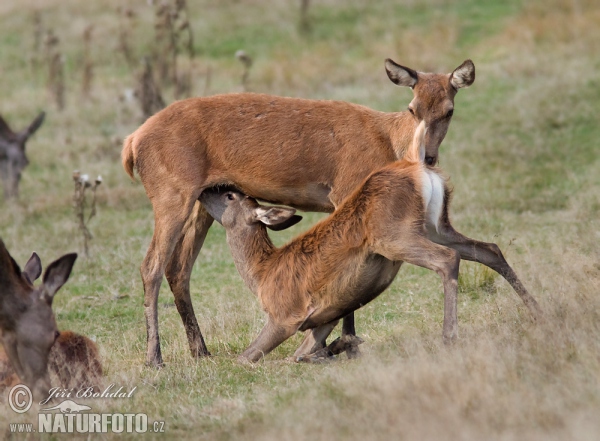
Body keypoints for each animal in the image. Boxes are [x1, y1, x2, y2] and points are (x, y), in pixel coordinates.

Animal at [199, 122, 540, 362]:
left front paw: (340, 347)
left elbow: (247, 358)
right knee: (488, 249)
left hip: (394, 236)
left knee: (446, 259)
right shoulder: (324, 316)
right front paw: (342, 345)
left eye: (230, 196)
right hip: (436, 225)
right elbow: (300, 353)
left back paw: (449, 337)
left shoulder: (285, 315)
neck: (262, 274)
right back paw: (538, 311)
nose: (204, 190)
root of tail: (416, 164)